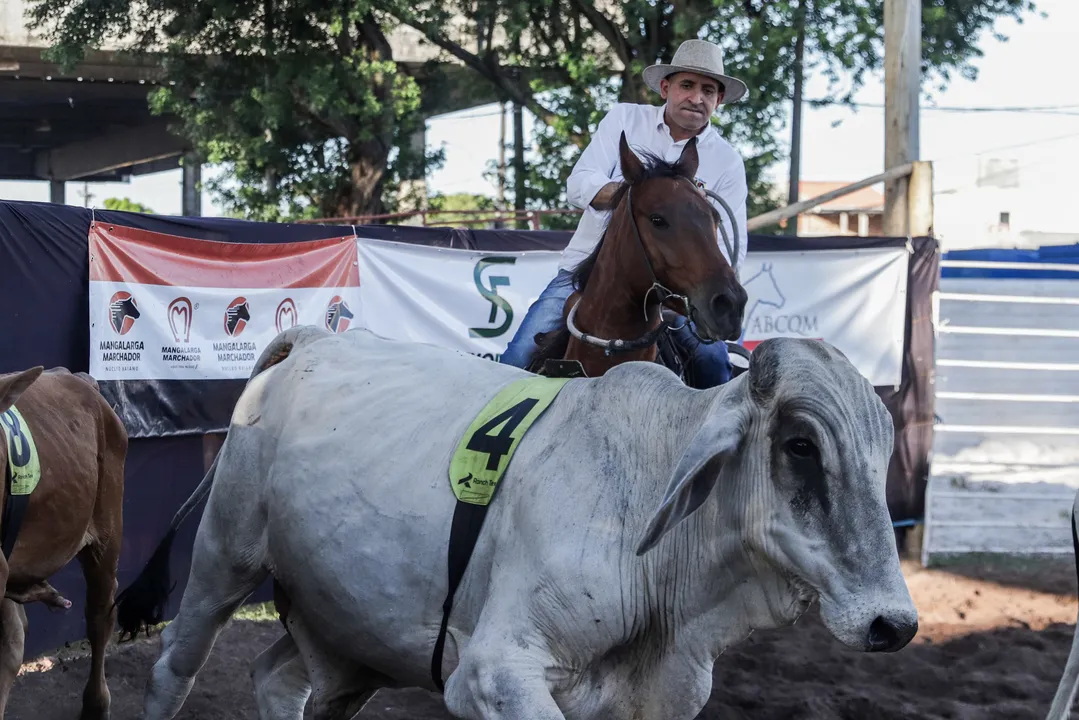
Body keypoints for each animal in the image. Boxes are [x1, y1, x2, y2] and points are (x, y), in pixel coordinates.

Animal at [120, 325, 919, 720]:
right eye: (800, 444)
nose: (893, 624)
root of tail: (315, 341)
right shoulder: (491, 675)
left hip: (344, 624)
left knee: (281, 680)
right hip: (224, 556)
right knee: (171, 671)